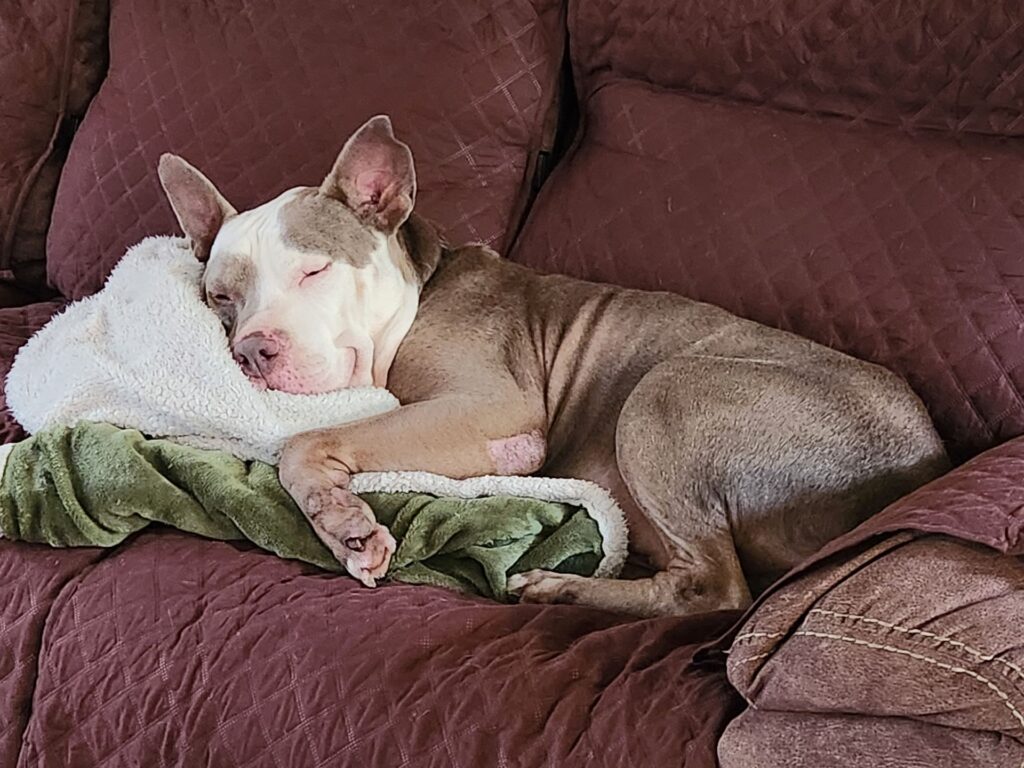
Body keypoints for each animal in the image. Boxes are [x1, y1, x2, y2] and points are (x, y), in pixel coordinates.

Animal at [155, 115, 946, 618]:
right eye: (220, 297)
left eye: (315, 270)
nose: (252, 350)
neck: (418, 290)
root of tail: (926, 458)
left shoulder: (494, 410)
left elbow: (304, 440)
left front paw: (345, 523)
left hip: (666, 391)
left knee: (715, 589)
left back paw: (563, 590)